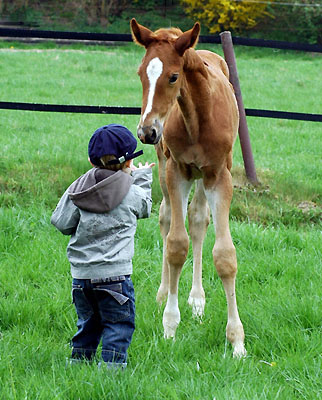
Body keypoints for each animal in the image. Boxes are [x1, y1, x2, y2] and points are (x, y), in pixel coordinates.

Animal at [131, 18, 247, 356]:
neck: (198, 119)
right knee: (168, 218)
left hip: (203, 179)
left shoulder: (218, 176)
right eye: (141, 73)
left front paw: (237, 341)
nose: (146, 131)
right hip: (167, 167)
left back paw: (197, 300)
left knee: (197, 221)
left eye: (173, 76)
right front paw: (170, 325)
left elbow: (224, 255)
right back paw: (164, 292)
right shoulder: (177, 172)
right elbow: (175, 245)